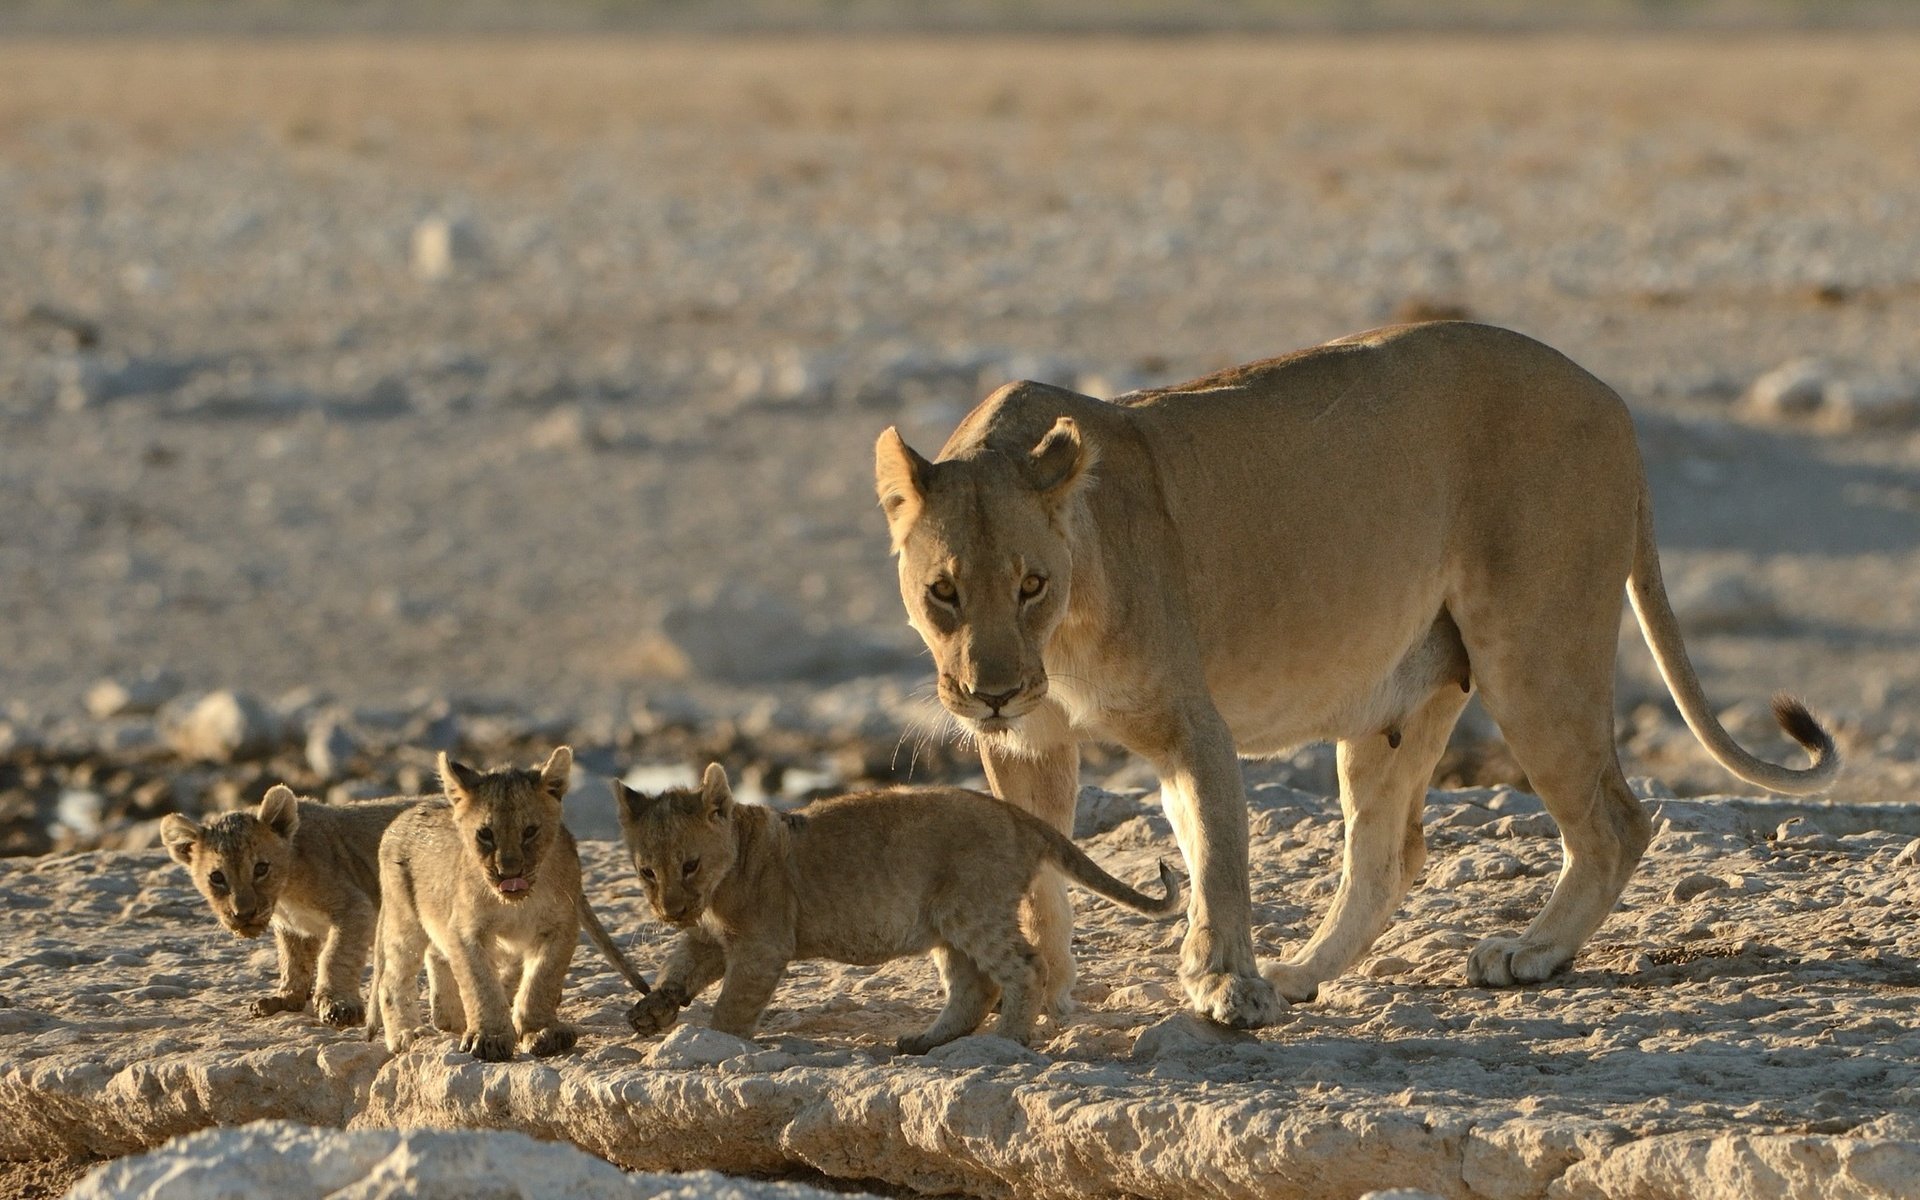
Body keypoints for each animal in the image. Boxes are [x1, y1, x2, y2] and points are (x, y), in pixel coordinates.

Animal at [879, 320, 1835, 1029]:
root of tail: (1613, 403)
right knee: (1390, 856)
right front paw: (1043, 983)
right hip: (1402, 699)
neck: (1059, 639)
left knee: (1616, 820)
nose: (993, 694)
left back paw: (1529, 952)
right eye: (944, 593)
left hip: (1534, 650)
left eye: (1030, 585)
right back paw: (1304, 971)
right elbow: (1038, 865)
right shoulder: (1030, 744)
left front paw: (1228, 988)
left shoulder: (1193, 720)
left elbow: (1219, 859)